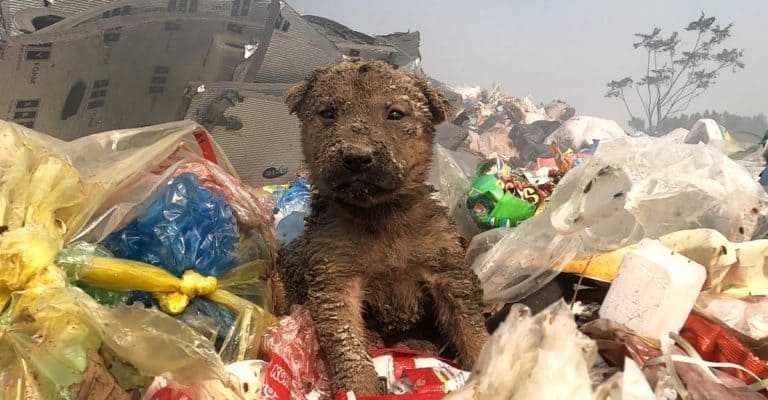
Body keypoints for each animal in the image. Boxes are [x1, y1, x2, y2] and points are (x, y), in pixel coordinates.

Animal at [280, 57, 488, 396]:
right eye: (328, 113)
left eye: (395, 114)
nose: (356, 157)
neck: (380, 216)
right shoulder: (336, 278)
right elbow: (347, 341)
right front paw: (359, 388)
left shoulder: (446, 269)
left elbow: (468, 324)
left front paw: (489, 357)